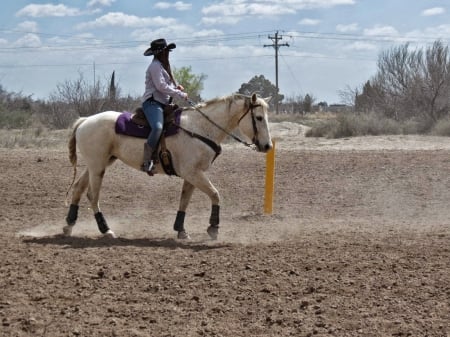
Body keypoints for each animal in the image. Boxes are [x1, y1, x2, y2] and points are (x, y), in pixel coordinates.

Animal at [63, 92, 274, 239]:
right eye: (259, 118)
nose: (267, 146)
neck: (200, 128)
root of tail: (85, 121)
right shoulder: (193, 173)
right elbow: (215, 194)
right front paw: (213, 228)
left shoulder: (192, 174)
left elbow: (184, 200)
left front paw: (181, 230)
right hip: (97, 167)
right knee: (93, 195)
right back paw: (105, 230)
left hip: (97, 164)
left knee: (78, 188)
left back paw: (68, 225)